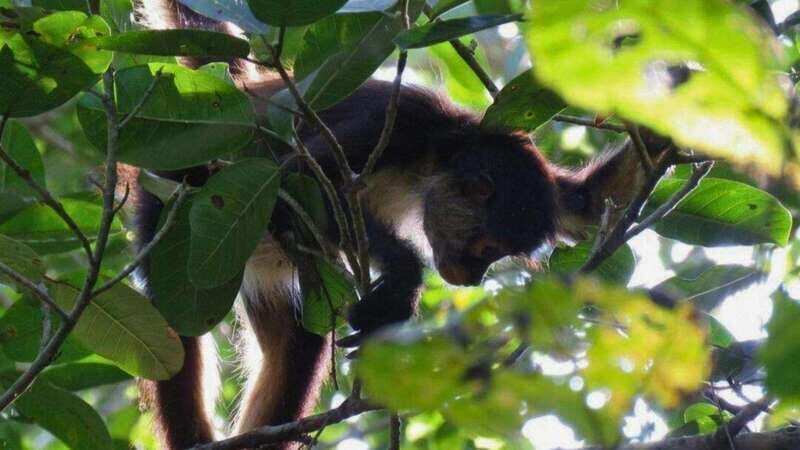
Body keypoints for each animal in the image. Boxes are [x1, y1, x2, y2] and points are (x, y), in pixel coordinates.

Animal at [130, 2, 673, 449]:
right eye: (486, 249)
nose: (472, 278)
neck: (442, 147)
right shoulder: (403, 124)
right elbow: (295, 174)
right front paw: (404, 283)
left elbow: (588, 204)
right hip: (176, 192)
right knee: (176, 326)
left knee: (299, 343)